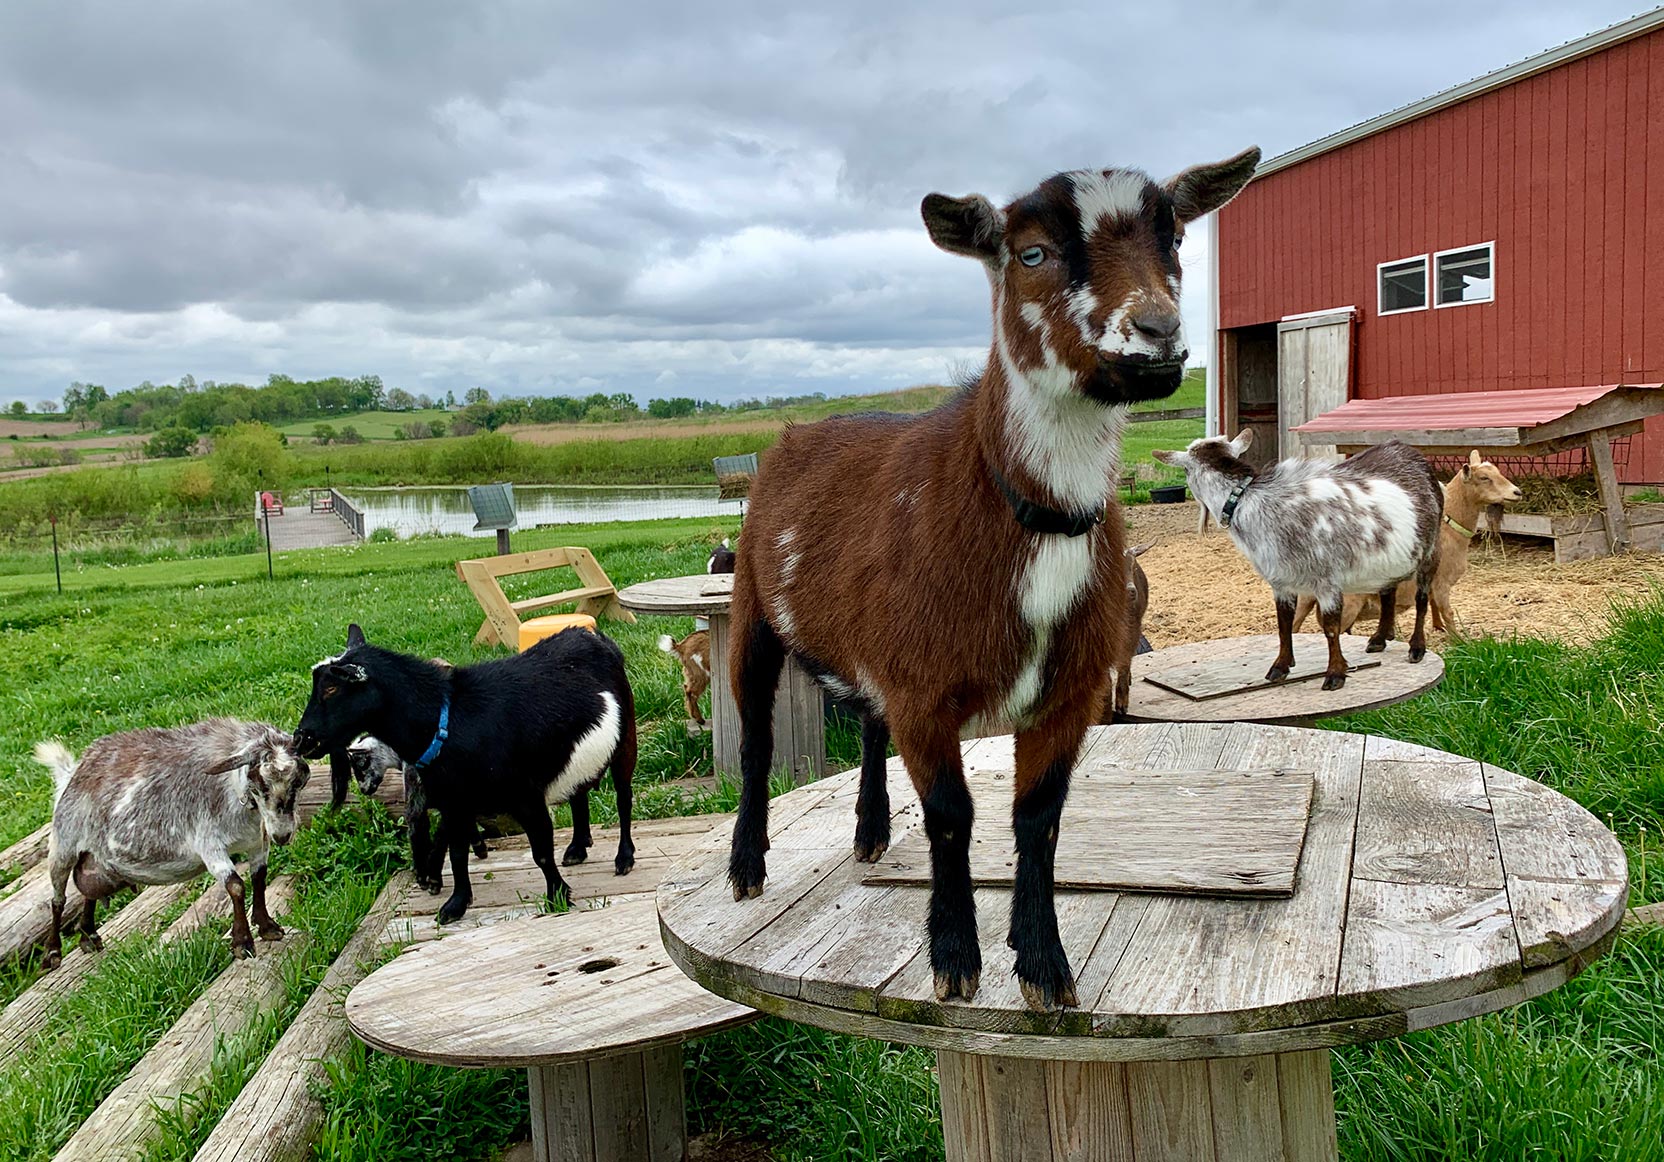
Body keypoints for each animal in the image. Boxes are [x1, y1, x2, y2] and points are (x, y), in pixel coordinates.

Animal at [35, 719, 309, 965]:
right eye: (260, 782)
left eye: (298, 781)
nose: (282, 835)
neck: (233, 792)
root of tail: (74, 772)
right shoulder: (209, 843)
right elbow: (236, 887)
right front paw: (242, 943)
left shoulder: (257, 843)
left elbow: (259, 878)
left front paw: (268, 927)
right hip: (63, 846)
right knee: (58, 900)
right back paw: (52, 952)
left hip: (92, 857)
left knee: (88, 890)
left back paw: (88, 936)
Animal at [292, 619, 635, 918]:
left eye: (332, 689)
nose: (302, 739)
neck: (448, 721)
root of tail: (591, 634)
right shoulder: (455, 803)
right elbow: (457, 853)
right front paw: (455, 905)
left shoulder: (525, 796)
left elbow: (540, 851)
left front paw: (558, 896)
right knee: (579, 791)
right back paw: (577, 847)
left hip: (625, 740)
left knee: (623, 798)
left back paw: (624, 857)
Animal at [728, 147, 1257, 1005]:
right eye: (1030, 253)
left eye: (1177, 236)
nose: (1158, 332)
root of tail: (795, 433)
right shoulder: (925, 691)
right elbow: (951, 815)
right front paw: (954, 957)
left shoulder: (1066, 690)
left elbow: (1038, 817)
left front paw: (1042, 964)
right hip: (751, 604)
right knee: (753, 742)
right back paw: (746, 867)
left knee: (867, 723)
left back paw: (870, 832)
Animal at [1158, 432, 1444, 689]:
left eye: (1185, 471)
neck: (1254, 502)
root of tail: (1411, 453)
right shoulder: (1280, 582)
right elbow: (1284, 624)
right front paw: (1280, 667)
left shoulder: (1327, 582)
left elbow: (1331, 628)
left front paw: (1335, 674)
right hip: (1389, 558)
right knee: (1388, 592)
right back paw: (1380, 638)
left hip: (1431, 551)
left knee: (1422, 599)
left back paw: (1416, 648)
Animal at [1291, 449, 1524, 632]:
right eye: (1484, 478)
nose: (1517, 492)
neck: (1451, 529)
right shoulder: (1442, 582)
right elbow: (1447, 612)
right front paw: (1462, 642)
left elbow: (1433, 606)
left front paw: (1438, 628)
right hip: (1349, 600)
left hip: (1306, 596)